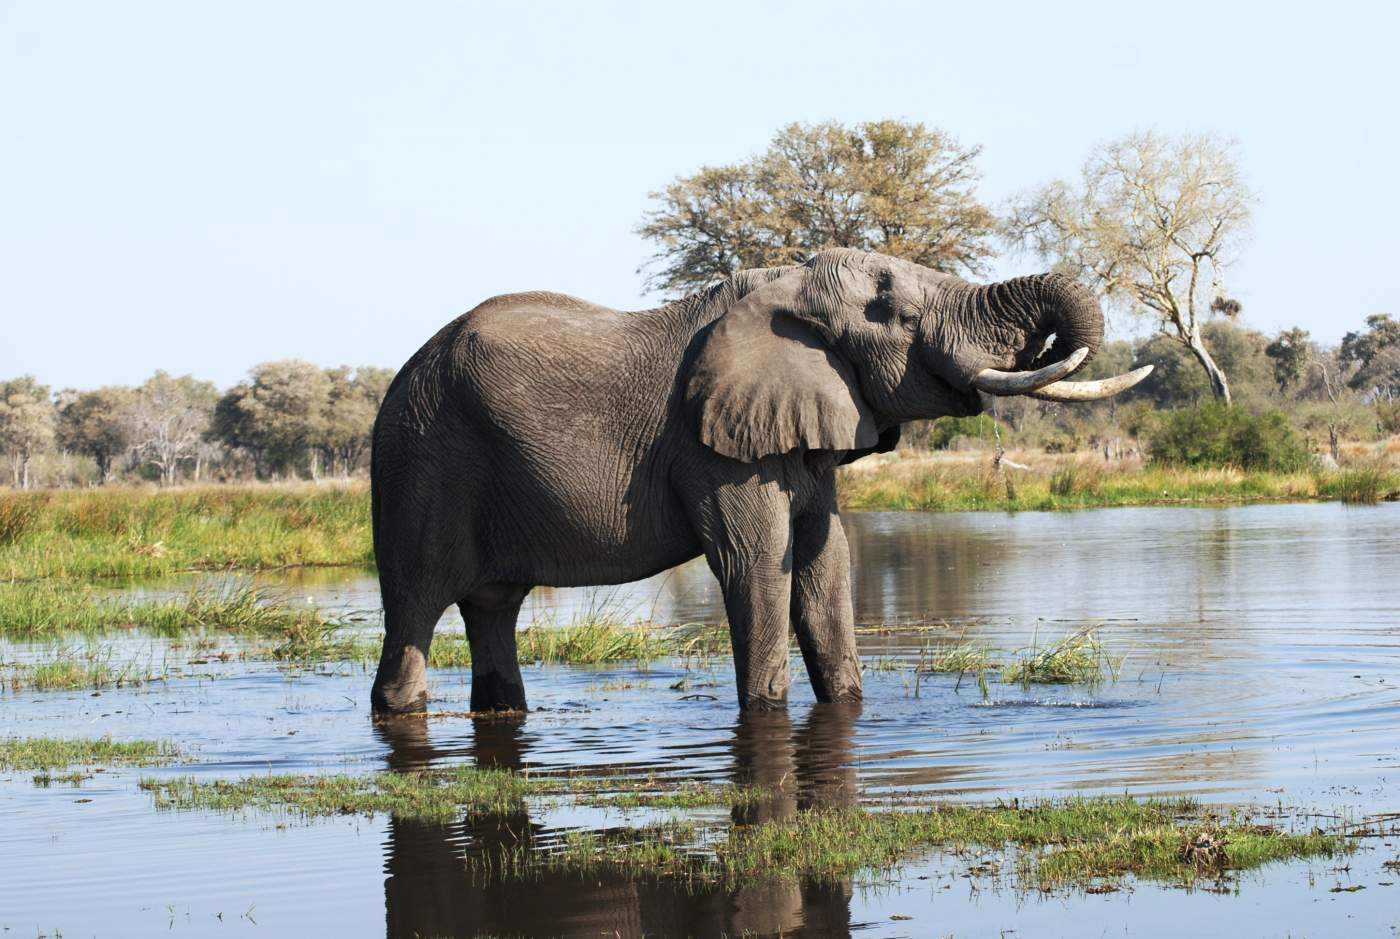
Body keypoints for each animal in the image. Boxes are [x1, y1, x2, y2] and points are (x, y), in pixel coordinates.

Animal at [369, 246, 1148, 716]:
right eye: (897, 313)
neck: (785, 283)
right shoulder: (713, 447)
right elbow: (755, 563)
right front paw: (768, 711)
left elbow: (826, 564)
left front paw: (848, 707)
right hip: (420, 462)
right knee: (415, 609)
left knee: (492, 609)